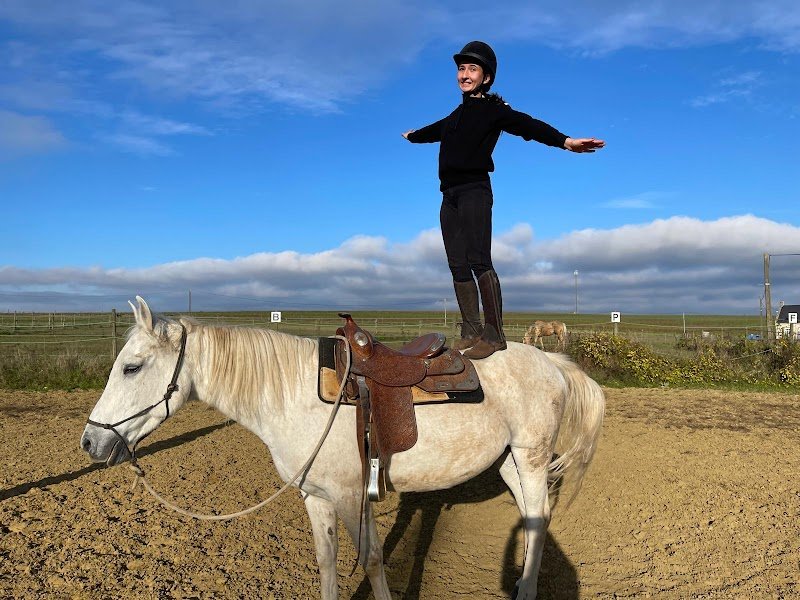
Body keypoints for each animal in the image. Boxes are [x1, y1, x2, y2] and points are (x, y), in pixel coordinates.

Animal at [81, 297, 604, 600]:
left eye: (131, 367)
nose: (91, 441)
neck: (293, 395)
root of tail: (554, 362)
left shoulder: (355, 496)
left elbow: (371, 560)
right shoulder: (316, 496)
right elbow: (327, 560)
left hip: (532, 457)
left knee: (539, 517)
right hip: (510, 462)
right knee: (532, 517)